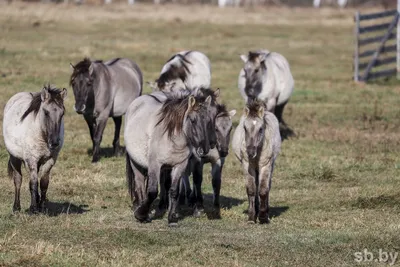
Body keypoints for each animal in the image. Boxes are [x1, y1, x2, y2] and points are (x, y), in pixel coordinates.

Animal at [3, 85, 67, 214]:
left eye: (62, 113)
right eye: (46, 112)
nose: (54, 142)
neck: (42, 135)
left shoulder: (50, 160)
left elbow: (43, 183)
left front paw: (42, 207)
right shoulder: (31, 160)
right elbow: (33, 183)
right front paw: (33, 209)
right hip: (15, 158)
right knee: (18, 180)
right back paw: (16, 207)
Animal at [125, 89, 217, 225]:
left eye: (209, 121)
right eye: (192, 120)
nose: (203, 149)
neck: (172, 138)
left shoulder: (179, 166)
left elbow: (174, 191)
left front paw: (172, 217)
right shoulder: (155, 165)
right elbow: (152, 191)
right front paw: (141, 215)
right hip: (135, 162)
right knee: (140, 184)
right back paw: (140, 208)